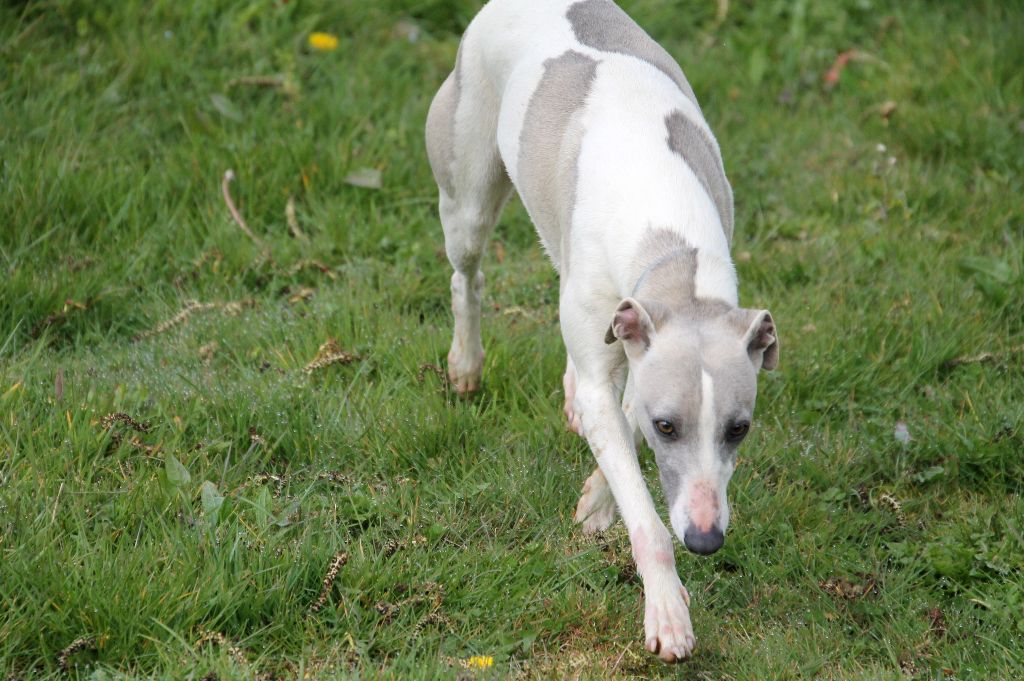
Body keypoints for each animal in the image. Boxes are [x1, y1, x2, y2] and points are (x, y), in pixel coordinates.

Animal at [423, 0, 774, 659]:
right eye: (669, 426)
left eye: (739, 428)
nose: (706, 540)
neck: (670, 236)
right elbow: (645, 512)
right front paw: (667, 612)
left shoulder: (635, 339)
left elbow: (619, 417)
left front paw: (596, 498)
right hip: (467, 195)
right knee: (466, 276)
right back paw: (465, 366)